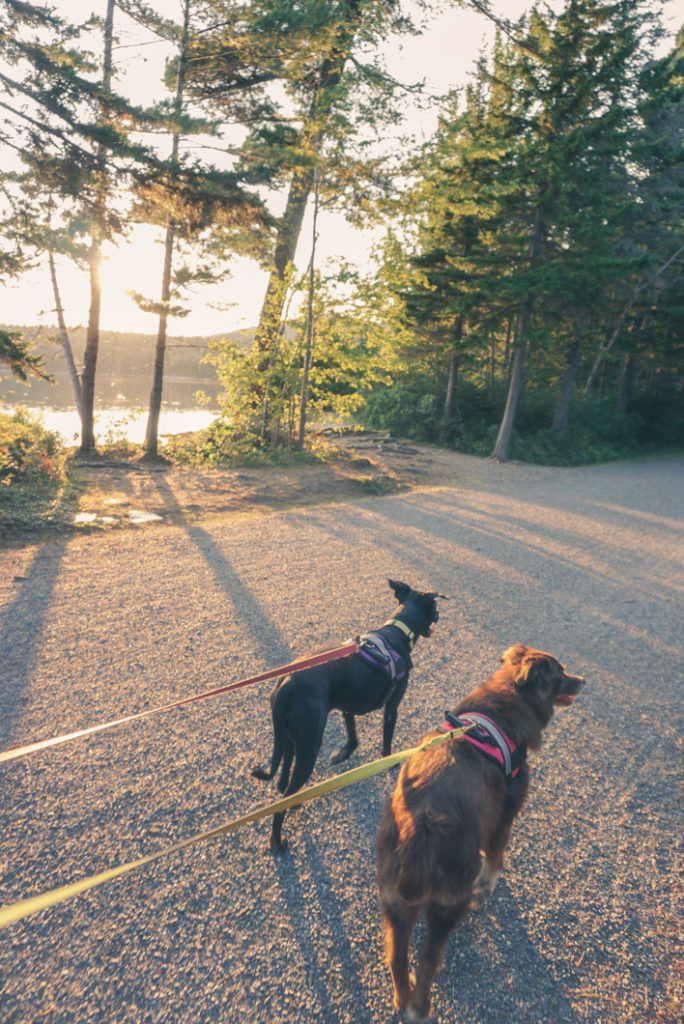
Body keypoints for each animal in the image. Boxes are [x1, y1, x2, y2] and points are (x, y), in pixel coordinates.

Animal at [252, 581, 444, 851]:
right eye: (434, 608)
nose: (438, 616)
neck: (397, 631)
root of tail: (287, 682)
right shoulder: (391, 708)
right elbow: (386, 741)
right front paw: (390, 762)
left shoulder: (347, 708)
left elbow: (353, 738)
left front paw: (342, 755)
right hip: (309, 746)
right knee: (280, 805)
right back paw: (278, 843)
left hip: (289, 739)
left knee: (282, 784)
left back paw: (295, 803)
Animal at [376, 643, 585, 1019]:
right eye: (561, 672)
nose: (583, 680)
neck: (501, 706)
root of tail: (420, 834)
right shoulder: (504, 815)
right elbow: (496, 859)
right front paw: (486, 889)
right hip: (446, 905)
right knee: (428, 962)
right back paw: (420, 1006)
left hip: (394, 902)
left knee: (397, 958)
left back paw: (402, 998)